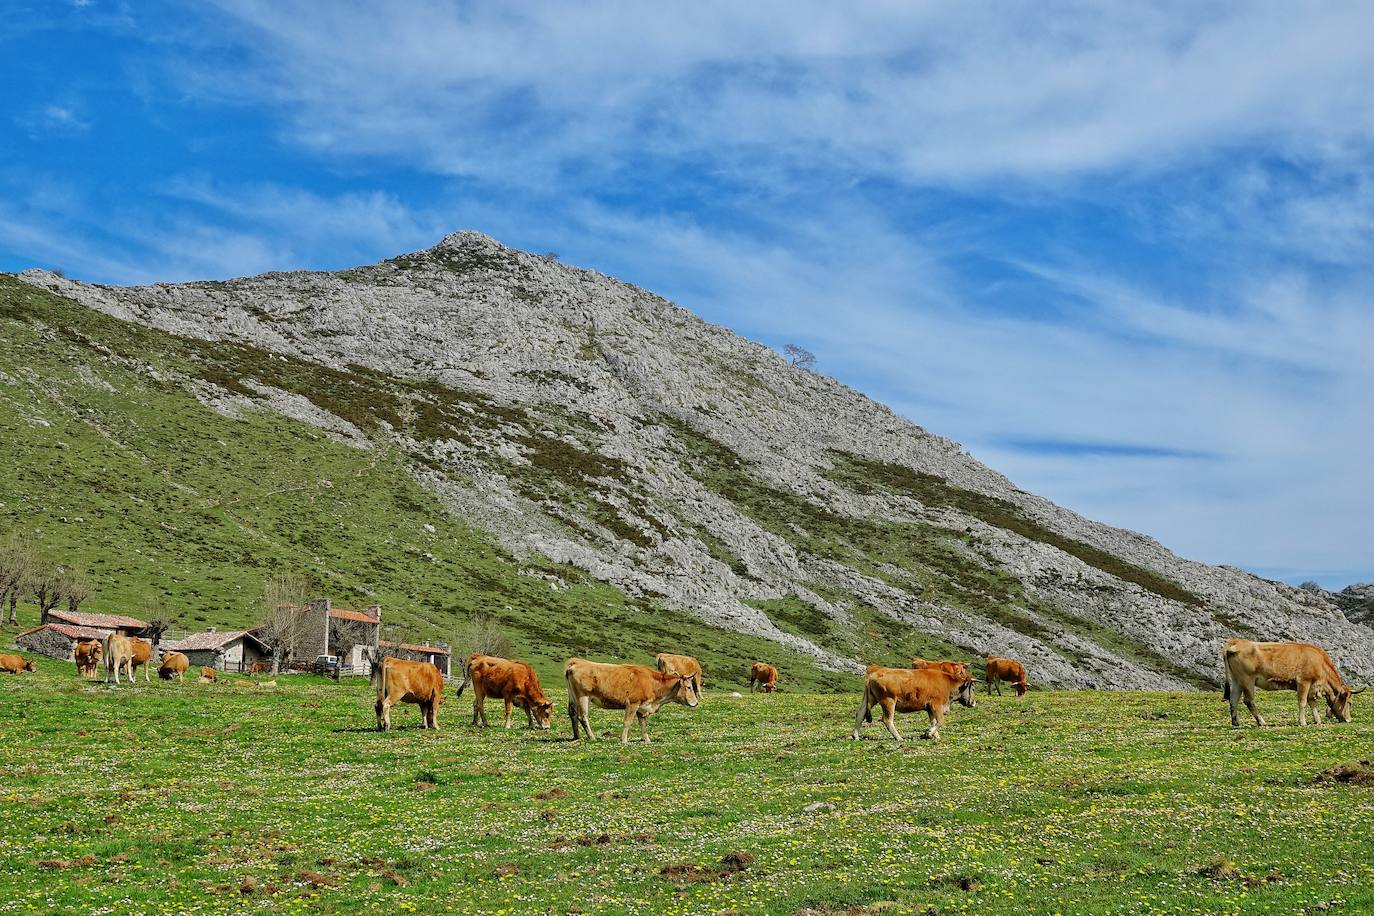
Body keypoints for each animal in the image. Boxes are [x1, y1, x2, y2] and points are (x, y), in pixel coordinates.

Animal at [566, 659, 703, 747]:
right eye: (689, 687)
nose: (696, 703)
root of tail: (576, 662)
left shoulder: (642, 707)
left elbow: (643, 724)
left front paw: (646, 739)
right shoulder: (632, 703)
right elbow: (627, 722)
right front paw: (624, 740)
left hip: (573, 697)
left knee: (573, 714)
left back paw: (576, 736)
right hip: (583, 697)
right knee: (583, 717)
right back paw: (592, 737)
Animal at [846, 667, 978, 747]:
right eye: (973, 689)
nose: (973, 703)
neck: (947, 683)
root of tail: (874, 672)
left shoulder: (929, 708)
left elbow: (933, 721)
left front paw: (934, 735)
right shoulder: (936, 705)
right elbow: (940, 721)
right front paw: (929, 734)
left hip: (870, 699)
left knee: (860, 714)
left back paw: (855, 736)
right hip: (888, 701)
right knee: (887, 720)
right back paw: (899, 737)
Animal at [1225, 642, 1363, 725]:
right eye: (1350, 703)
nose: (1348, 720)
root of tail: (1235, 643)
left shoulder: (1312, 687)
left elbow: (1312, 703)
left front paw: (1317, 720)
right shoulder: (1304, 682)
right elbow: (1303, 702)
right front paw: (1302, 722)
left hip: (1237, 680)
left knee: (1233, 700)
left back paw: (1236, 723)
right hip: (1247, 680)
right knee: (1248, 701)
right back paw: (1262, 722)